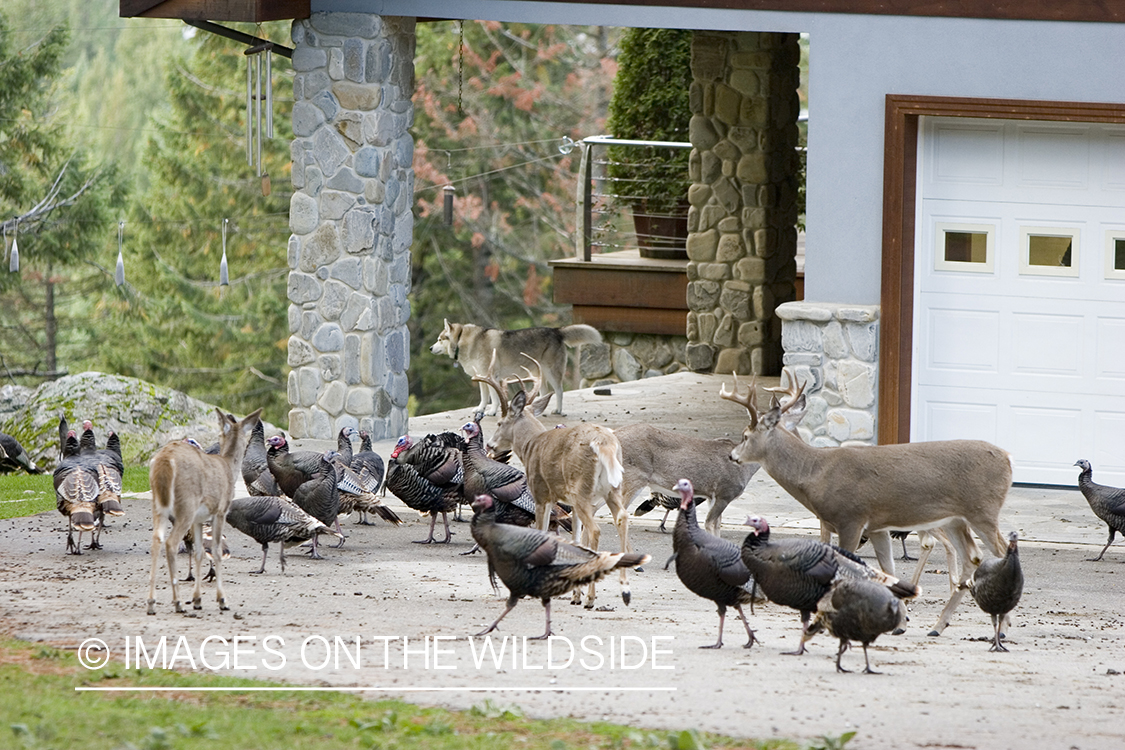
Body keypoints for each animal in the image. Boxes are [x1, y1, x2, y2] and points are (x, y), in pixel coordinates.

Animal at [147, 411, 261, 616]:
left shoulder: (198, 520)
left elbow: (200, 552)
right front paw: (222, 600)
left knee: (156, 540)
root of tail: (165, 461)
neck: (228, 467)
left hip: (159, 504)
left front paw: (197, 600)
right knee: (171, 543)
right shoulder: (220, 511)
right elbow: (215, 550)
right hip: (186, 504)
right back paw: (177, 603)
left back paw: (152, 603)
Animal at [472, 357, 634, 611]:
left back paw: (591, 599)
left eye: (499, 422)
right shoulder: (570, 503)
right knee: (622, 518)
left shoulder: (541, 494)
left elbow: (542, 532)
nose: (490, 445)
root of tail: (604, 444)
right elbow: (576, 539)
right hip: (610, 489)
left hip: (582, 488)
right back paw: (625, 592)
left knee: (596, 530)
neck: (531, 444)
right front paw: (575, 594)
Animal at [720, 377, 1012, 638]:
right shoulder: (877, 526)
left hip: (983, 510)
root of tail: (1009, 459)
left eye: (745, 436)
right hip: (955, 519)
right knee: (973, 557)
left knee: (1002, 550)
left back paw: (1004, 628)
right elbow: (888, 570)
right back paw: (939, 626)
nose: (732, 455)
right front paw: (899, 623)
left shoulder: (850, 518)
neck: (816, 473)